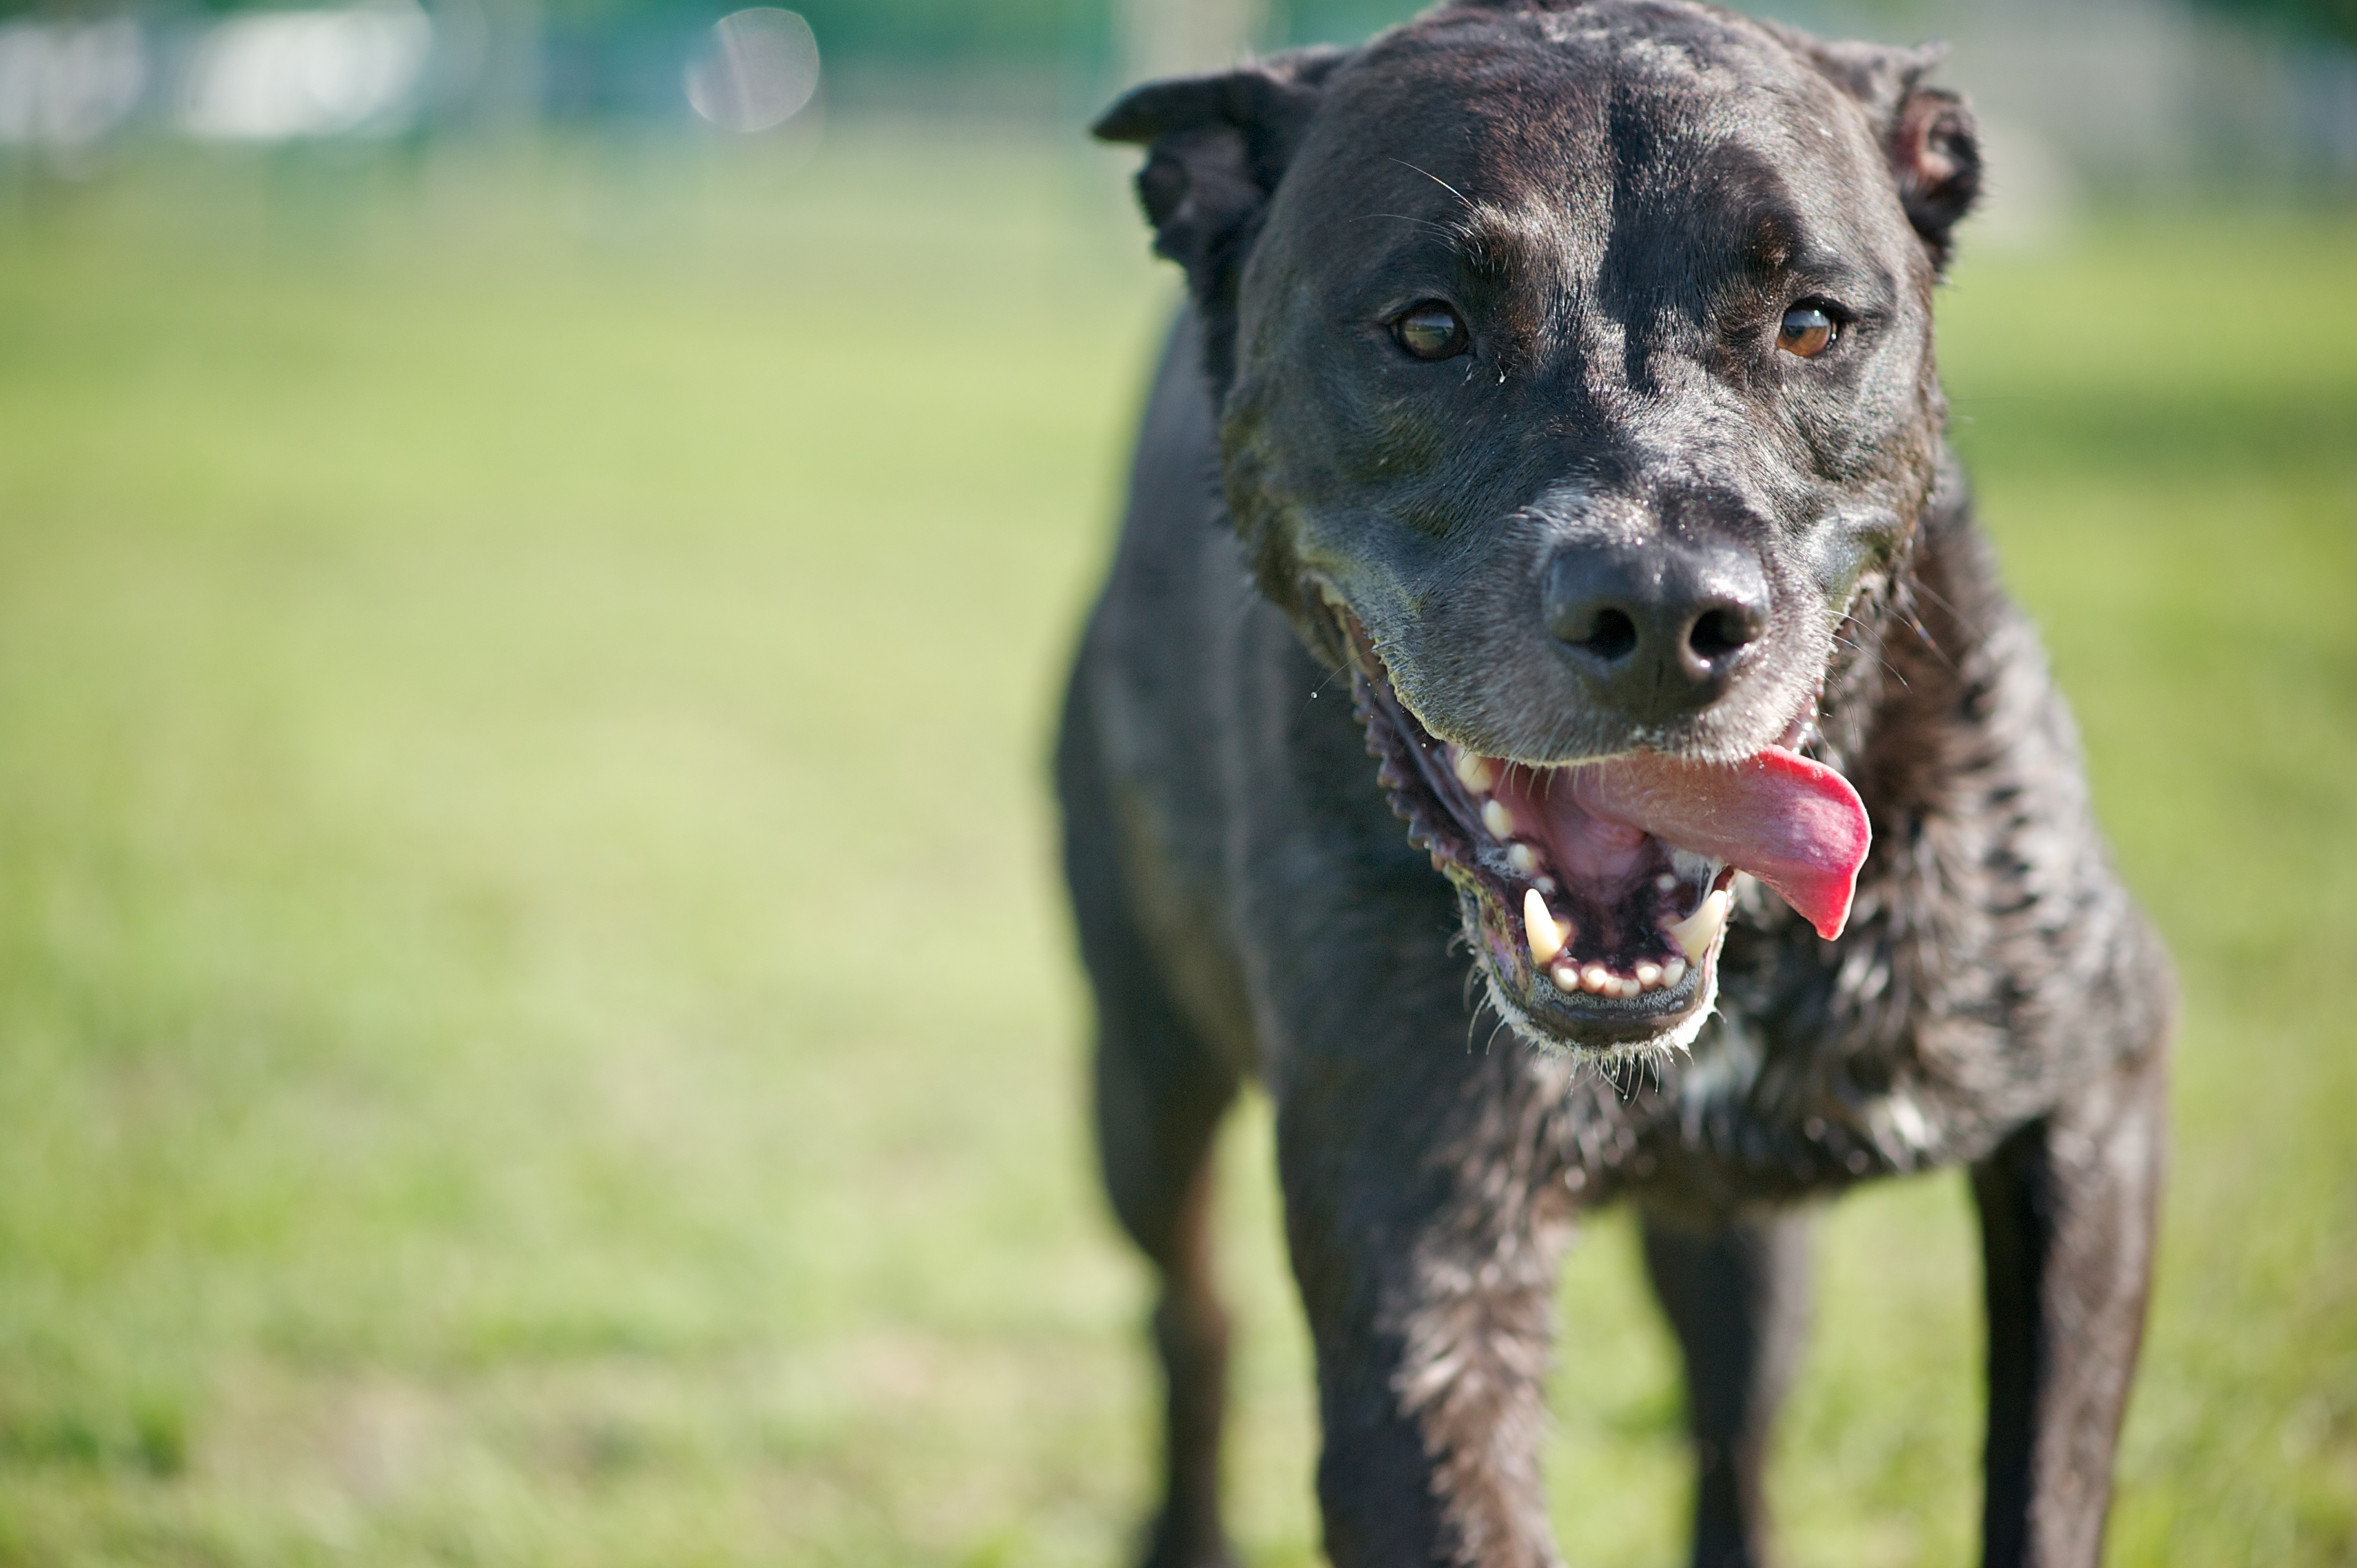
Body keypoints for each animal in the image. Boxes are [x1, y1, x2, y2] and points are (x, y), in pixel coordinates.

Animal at [1061, 6, 2178, 1556]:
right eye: (1428, 329)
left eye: (1810, 321)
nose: (1660, 612)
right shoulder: (1425, 1275)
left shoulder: (2093, 1090)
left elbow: (2047, 1487)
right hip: (1141, 1079)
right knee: (1192, 1318)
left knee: (1734, 1428)